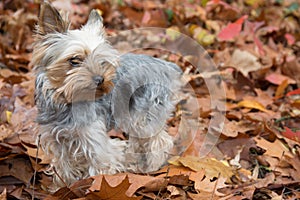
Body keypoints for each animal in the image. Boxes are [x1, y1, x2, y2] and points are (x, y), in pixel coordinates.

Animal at [33, 1, 183, 187]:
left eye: (102, 62)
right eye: (74, 60)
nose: (100, 80)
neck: (66, 100)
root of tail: (166, 65)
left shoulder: (95, 140)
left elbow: (101, 166)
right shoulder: (56, 139)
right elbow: (64, 166)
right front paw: (61, 186)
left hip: (144, 114)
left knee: (159, 141)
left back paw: (149, 167)